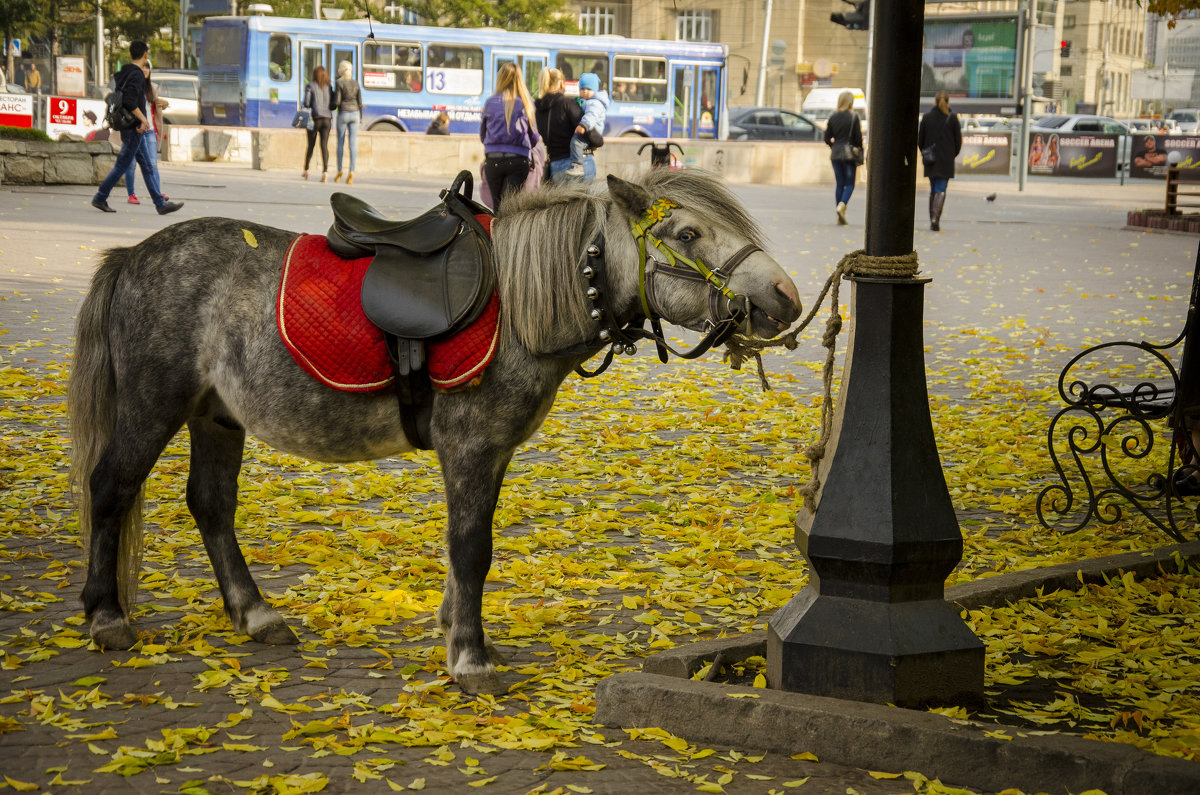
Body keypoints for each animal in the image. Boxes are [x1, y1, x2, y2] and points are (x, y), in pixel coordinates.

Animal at [65, 171, 801, 696]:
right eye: (687, 233)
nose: (785, 296)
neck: (519, 305)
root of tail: (134, 256)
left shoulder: (490, 455)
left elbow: (463, 548)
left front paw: (460, 634)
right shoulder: (471, 447)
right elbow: (472, 549)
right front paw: (470, 657)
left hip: (216, 414)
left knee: (212, 505)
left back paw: (255, 613)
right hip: (154, 405)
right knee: (111, 488)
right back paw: (107, 616)